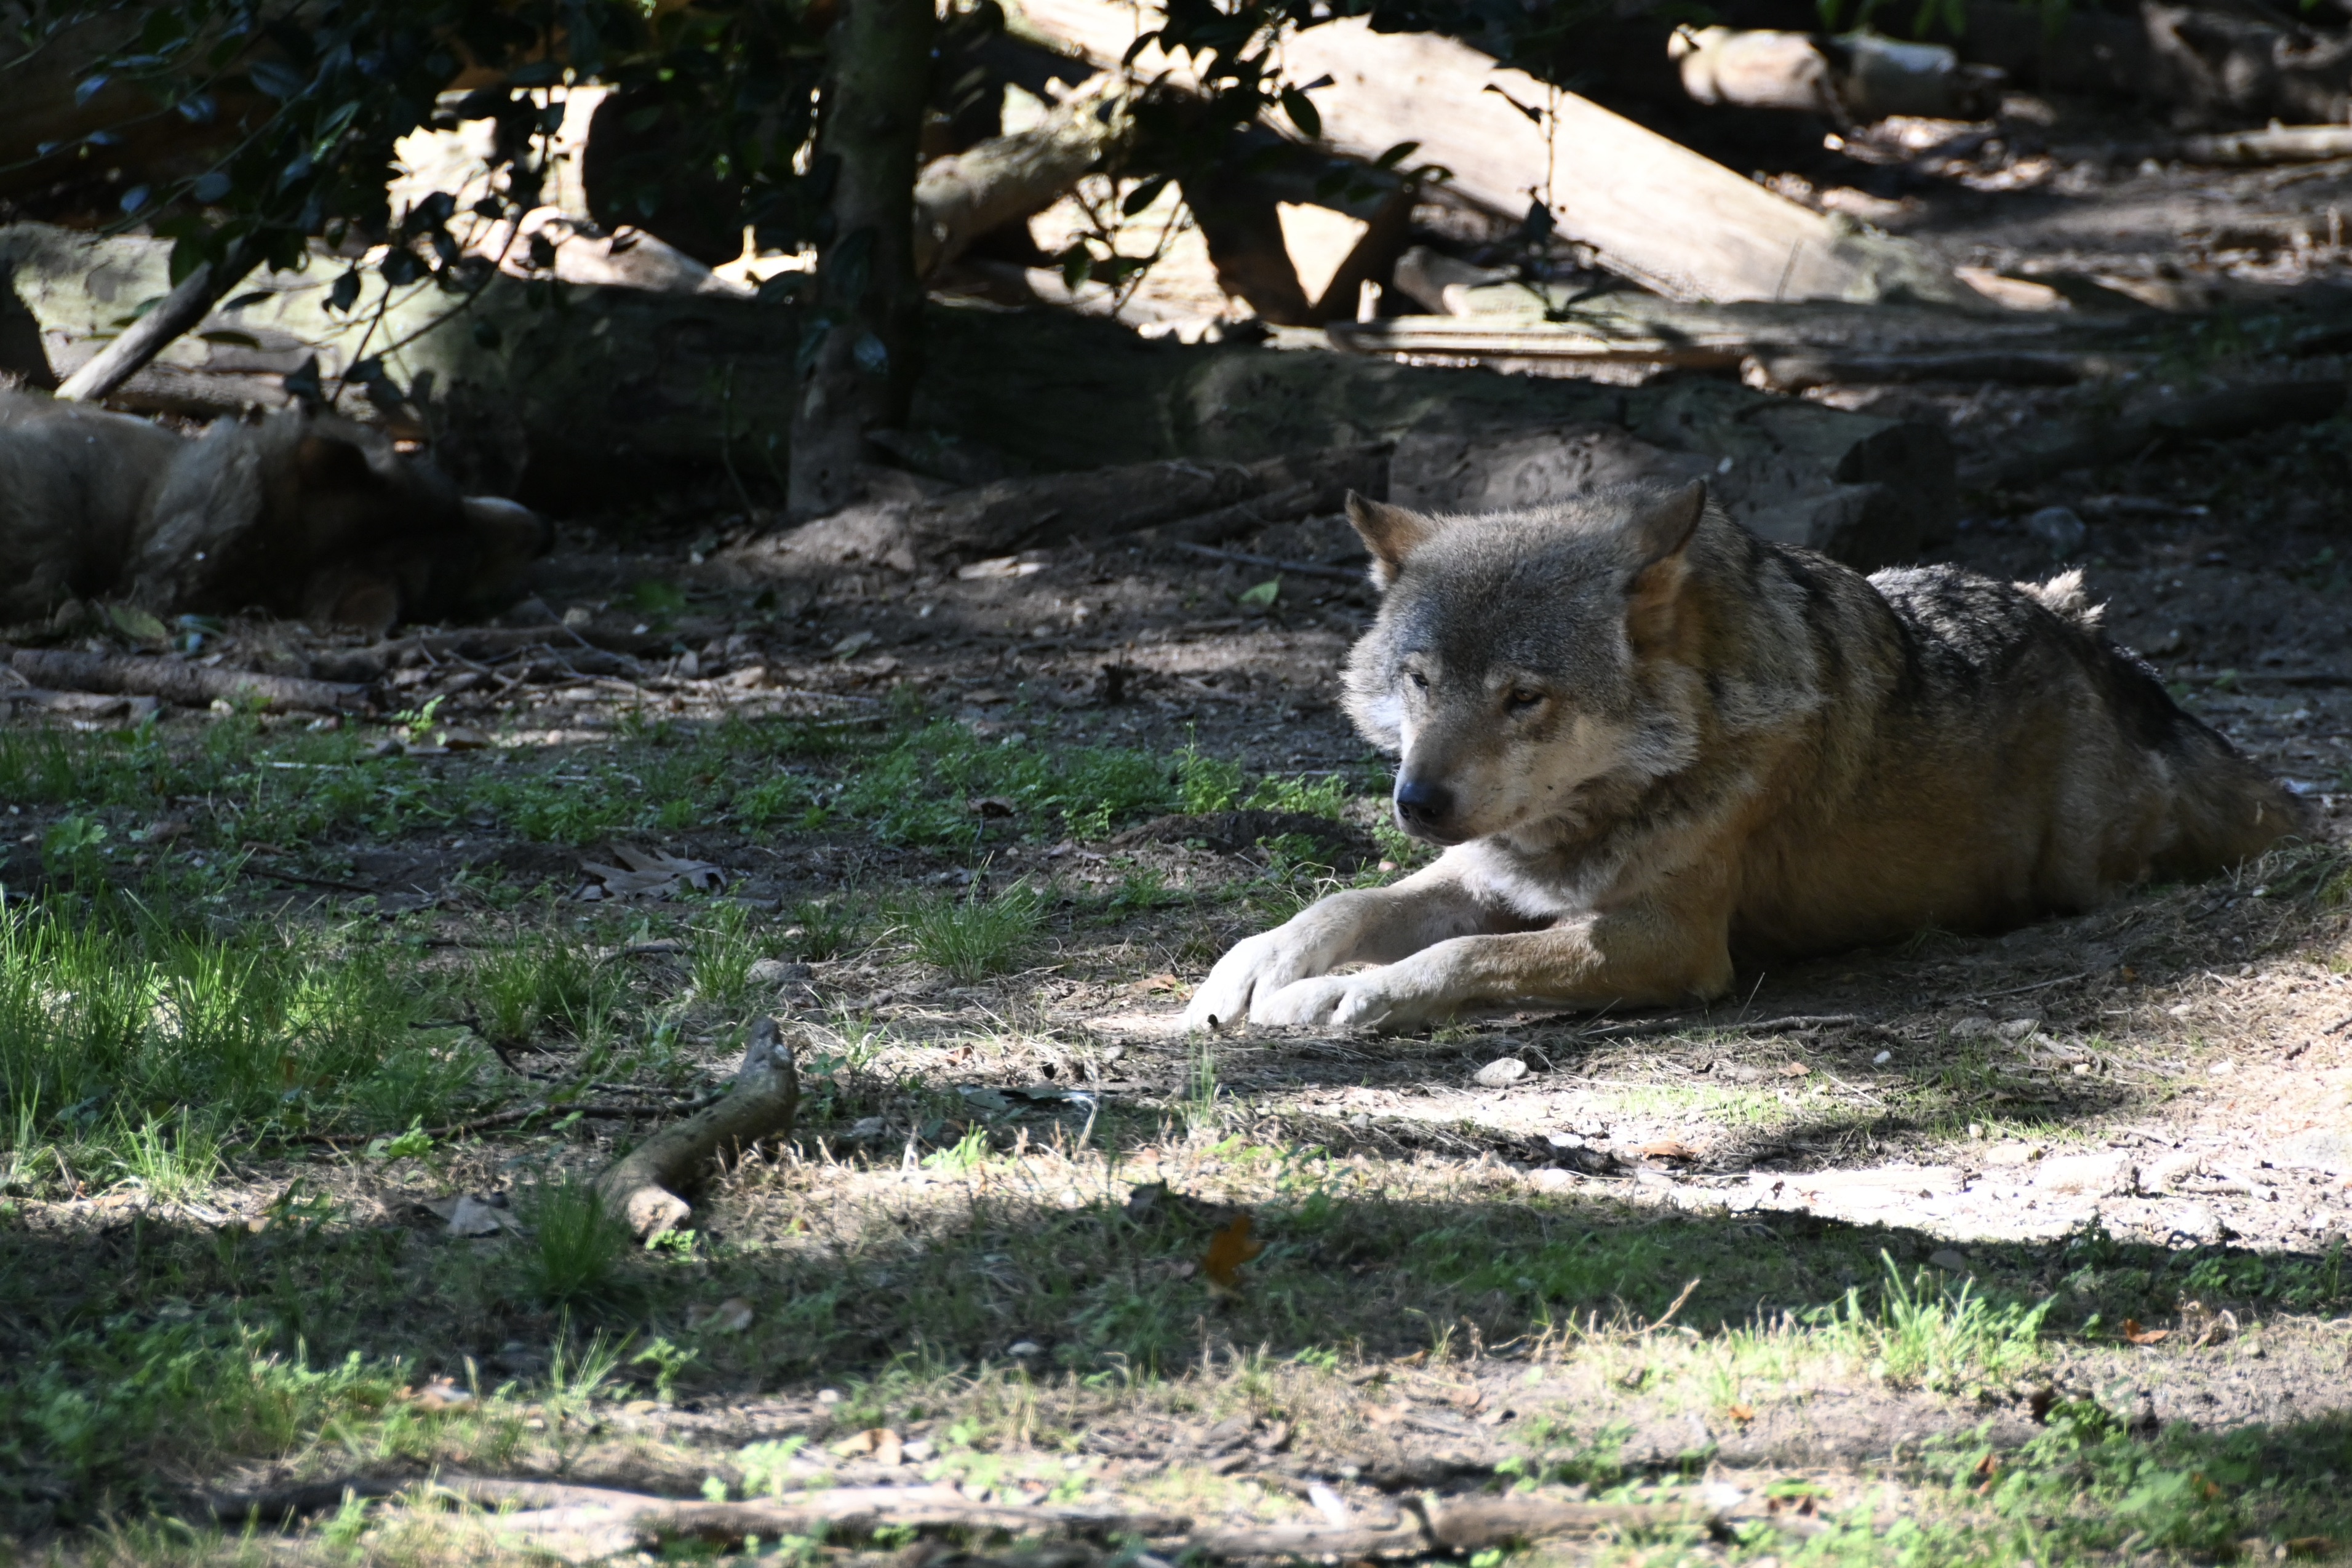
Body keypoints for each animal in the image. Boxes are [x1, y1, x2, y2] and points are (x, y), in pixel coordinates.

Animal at [1184, 481, 2302, 1032]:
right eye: (1418, 679)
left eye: (1522, 696)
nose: (1416, 800)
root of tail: (2104, 649)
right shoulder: (1487, 869)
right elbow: (1344, 904)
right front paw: (1247, 969)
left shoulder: (1659, 939)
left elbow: (1452, 956)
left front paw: (1338, 996)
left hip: (2078, 865)